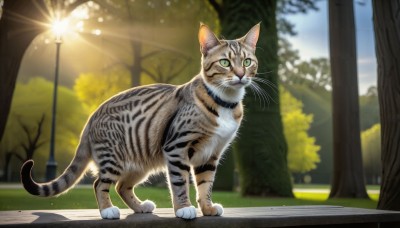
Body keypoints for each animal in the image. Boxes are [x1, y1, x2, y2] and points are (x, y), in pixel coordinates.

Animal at [20, 22, 260, 219]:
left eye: (247, 62)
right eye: (225, 62)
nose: (240, 74)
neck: (224, 102)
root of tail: (91, 119)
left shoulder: (210, 154)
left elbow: (205, 184)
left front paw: (207, 208)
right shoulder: (176, 147)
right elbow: (180, 182)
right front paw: (184, 208)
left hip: (140, 163)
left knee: (122, 186)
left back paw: (140, 207)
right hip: (113, 157)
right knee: (100, 183)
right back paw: (107, 210)